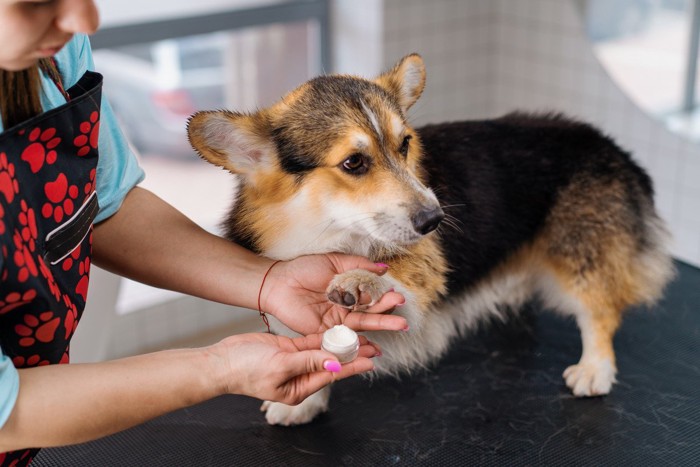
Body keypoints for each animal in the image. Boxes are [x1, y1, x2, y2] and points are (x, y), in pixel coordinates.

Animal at [186, 53, 672, 426]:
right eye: (354, 163)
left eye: (404, 144)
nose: (435, 220)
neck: (325, 231)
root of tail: (611, 145)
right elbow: (317, 348)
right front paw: (303, 403)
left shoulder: (423, 270)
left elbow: (399, 280)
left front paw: (364, 281)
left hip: (581, 254)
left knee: (599, 311)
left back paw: (595, 368)